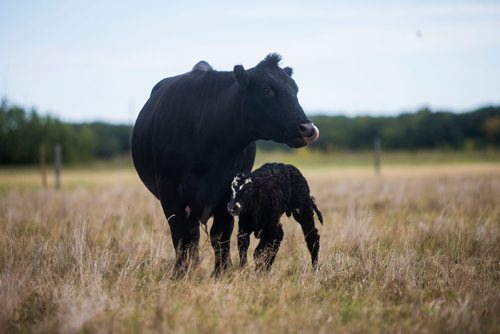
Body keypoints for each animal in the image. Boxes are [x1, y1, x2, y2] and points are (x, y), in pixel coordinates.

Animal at [132, 53, 320, 276]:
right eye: (267, 89)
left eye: (295, 89)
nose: (308, 128)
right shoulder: (169, 190)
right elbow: (180, 235)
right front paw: (180, 273)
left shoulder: (228, 193)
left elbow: (220, 235)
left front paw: (221, 272)